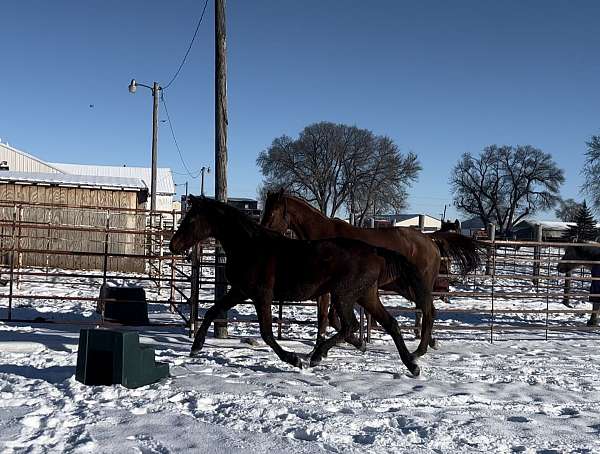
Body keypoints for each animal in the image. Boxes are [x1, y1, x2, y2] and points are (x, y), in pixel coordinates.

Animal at [171, 195, 428, 376]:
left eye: (191, 219)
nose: (173, 245)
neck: (250, 246)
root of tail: (375, 251)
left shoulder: (261, 295)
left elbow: (267, 333)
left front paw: (294, 359)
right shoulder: (240, 291)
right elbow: (213, 311)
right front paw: (196, 346)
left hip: (344, 295)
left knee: (350, 326)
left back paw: (317, 356)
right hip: (366, 296)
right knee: (390, 324)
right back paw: (412, 365)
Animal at [260, 190, 480, 352]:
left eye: (272, 213)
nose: (262, 234)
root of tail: (430, 239)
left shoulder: (329, 290)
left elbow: (326, 318)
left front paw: (342, 345)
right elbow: (329, 318)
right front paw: (357, 342)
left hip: (418, 286)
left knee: (428, 310)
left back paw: (421, 349)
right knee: (428, 310)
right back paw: (430, 343)